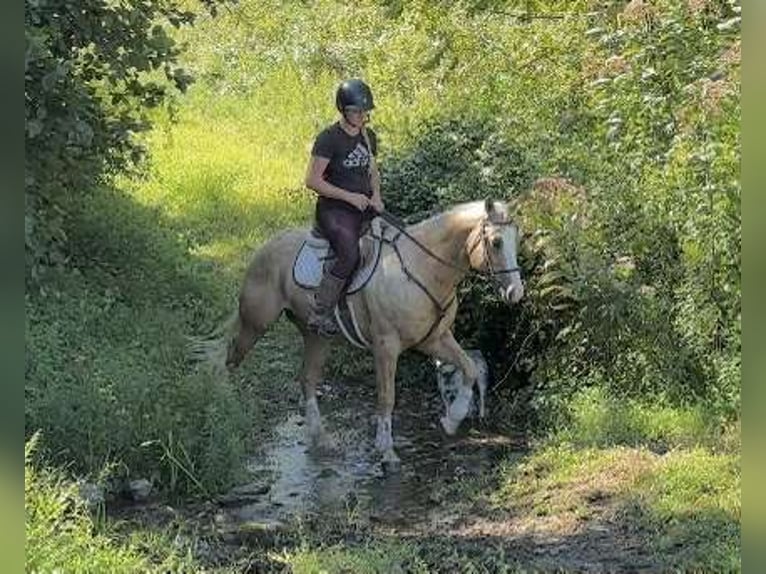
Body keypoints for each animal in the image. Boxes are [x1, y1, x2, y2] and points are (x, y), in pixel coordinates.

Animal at [193, 199, 524, 471]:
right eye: (496, 242)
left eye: (516, 240)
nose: (516, 293)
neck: (421, 269)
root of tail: (266, 247)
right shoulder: (386, 346)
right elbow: (387, 397)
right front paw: (386, 451)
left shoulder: (435, 339)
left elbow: (469, 368)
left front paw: (452, 419)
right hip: (256, 323)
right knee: (229, 360)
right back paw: (223, 412)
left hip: (316, 335)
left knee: (307, 378)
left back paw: (321, 438)